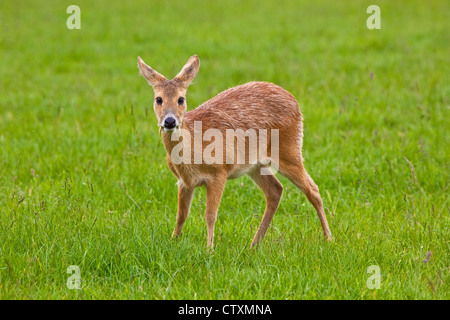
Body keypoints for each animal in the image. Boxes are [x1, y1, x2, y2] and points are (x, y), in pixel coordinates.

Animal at [138, 54, 334, 250]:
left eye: (181, 99)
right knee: (275, 190)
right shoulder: (184, 182)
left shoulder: (219, 172)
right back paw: (254, 244)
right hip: (255, 164)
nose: (169, 121)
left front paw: (209, 249)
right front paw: (173, 241)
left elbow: (210, 215)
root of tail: (294, 101)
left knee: (313, 189)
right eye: (158, 99)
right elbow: (181, 216)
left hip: (288, 149)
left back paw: (329, 238)